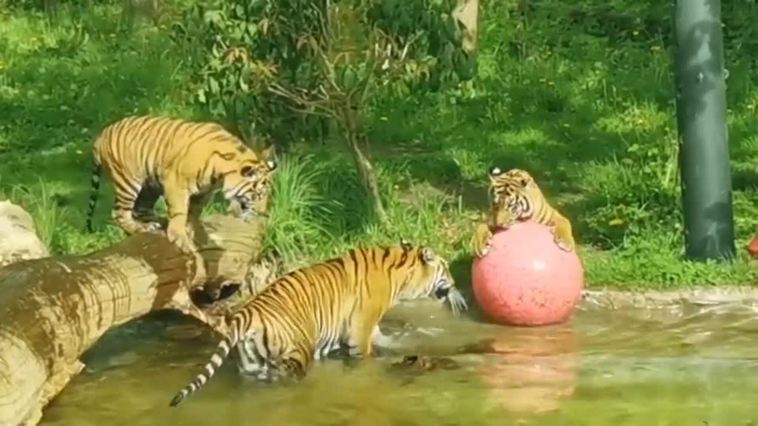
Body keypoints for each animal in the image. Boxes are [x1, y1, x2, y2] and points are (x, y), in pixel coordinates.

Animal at [84, 115, 280, 284]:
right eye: (257, 195)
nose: (264, 214)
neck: (221, 173)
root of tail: (101, 135)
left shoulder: (203, 192)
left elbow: (194, 213)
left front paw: (199, 234)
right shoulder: (175, 183)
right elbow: (180, 212)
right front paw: (180, 236)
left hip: (149, 186)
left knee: (141, 209)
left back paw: (155, 223)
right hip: (129, 181)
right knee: (119, 213)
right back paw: (140, 228)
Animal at [169, 241, 472, 408]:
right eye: (446, 268)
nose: (455, 284)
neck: (400, 276)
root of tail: (249, 311)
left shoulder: (370, 328)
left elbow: (391, 340)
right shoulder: (360, 333)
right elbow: (367, 357)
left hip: (252, 367)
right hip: (297, 352)